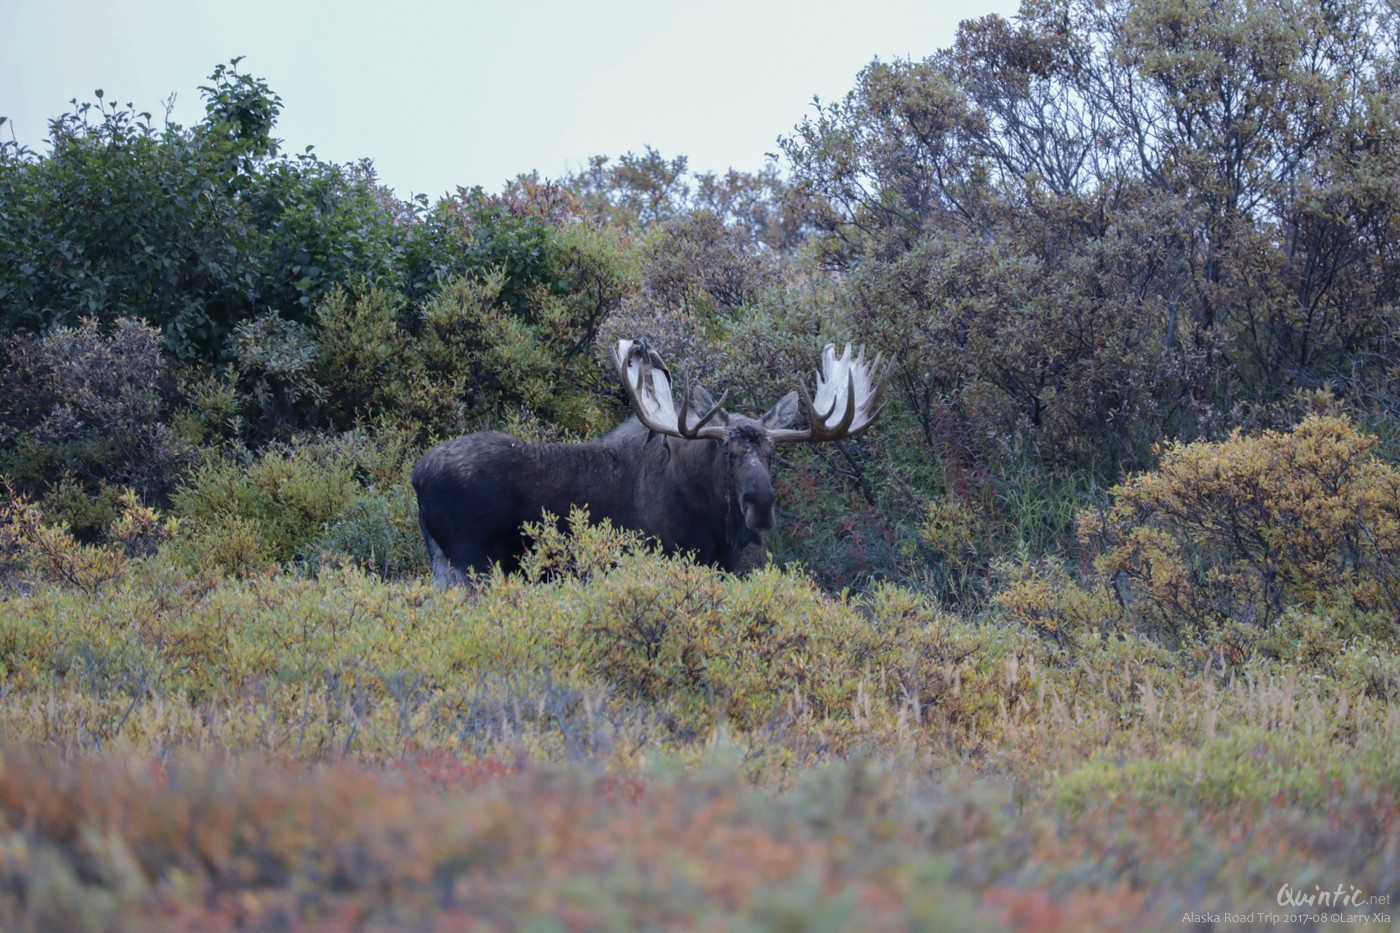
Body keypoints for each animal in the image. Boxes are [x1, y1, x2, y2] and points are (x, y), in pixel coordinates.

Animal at [408, 337, 890, 577]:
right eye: (727, 451)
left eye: (773, 453)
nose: (761, 506)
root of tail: (416, 476)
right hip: (473, 562)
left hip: (443, 564)